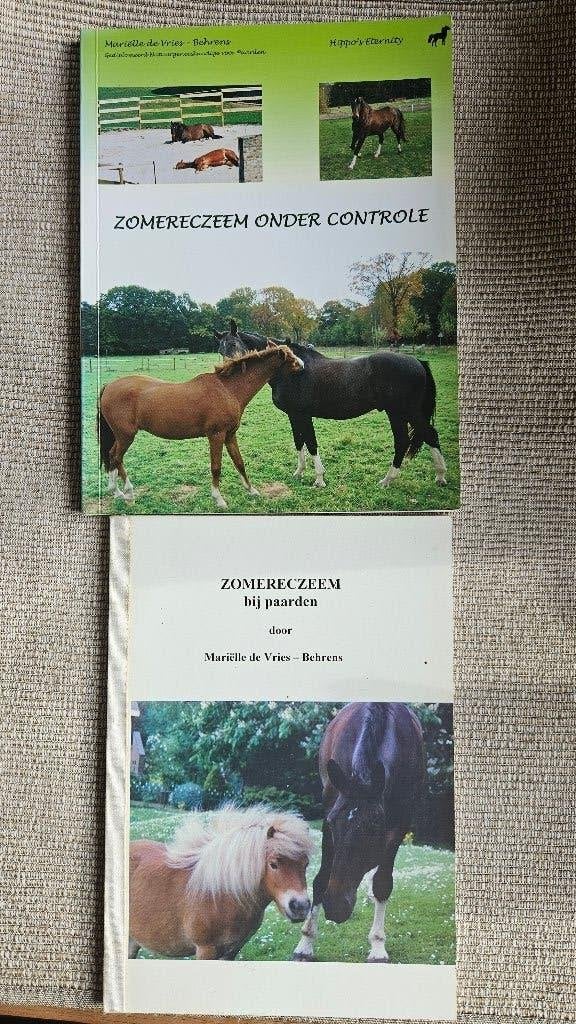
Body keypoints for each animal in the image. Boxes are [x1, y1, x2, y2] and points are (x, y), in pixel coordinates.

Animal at [97, 342, 304, 509]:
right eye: (289, 357)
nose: (302, 364)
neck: (228, 389)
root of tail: (108, 386)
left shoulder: (230, 435)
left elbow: (239, 462)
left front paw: (251, 490)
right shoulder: (216, 435)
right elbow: (216, 467)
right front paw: (219, 499)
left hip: (120, 437)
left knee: (112, 457)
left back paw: (116, 491)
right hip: (126, 436)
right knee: (116, 457)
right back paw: (128, 493)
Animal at [129, 805, 314, 960]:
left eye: (306, 864)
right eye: (273, 864)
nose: (300, 906)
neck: (221, 895)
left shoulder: (232, 951)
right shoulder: (206, 949)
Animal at [215, 320, 447, 490]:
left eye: (234, 345)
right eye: (219, 349)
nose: (225, 374)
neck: (290, 370)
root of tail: (418, 362)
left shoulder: (303, 414)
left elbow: (311, 443)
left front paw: (319, 479)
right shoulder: (294, 415)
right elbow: (299, 442)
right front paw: (299, 472)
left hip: (404, 412)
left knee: (427, 435)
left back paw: (437, 477)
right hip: (397, 414)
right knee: (404, 442)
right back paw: (391, 479)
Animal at [292, 703, 425, 963]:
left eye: (373, 828)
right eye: (333, 823)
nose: (335, 907)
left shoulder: (400, 823)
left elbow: (382, 883)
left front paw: (378, 946)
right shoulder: (329, 809)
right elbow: (321, 878)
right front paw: (306, 943)